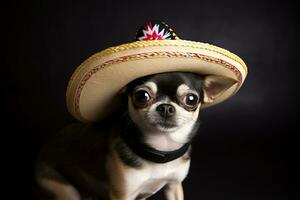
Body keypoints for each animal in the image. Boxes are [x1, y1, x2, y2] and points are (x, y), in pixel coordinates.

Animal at [35, 72, 236, 200]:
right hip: (62, 188)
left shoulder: (174, 187)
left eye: (191, 99)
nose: (166, 107)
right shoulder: (122, 195)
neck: (161, 150)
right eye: (142, 96)